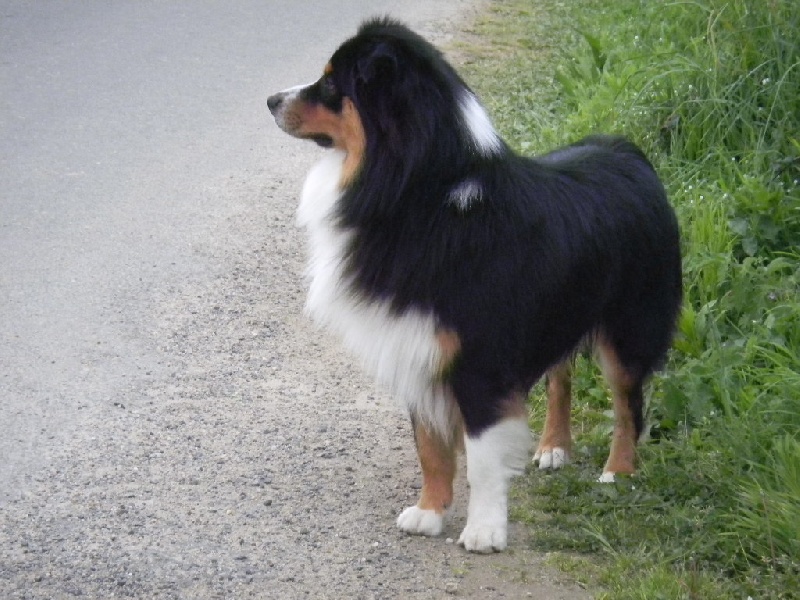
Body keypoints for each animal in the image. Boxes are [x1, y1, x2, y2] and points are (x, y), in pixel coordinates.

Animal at [267, 17, 682, 553]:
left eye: (333, 85)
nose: (271, 101)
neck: (417, 192)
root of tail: (628, 150)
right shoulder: (417, 345)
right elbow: (430, 446)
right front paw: (429, 511)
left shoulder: (481, 362)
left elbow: (482, 458)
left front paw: (484, 529)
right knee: (561, 373)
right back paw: (554, 446)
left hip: (629, 324)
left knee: (629, 402)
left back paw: (619, 472)